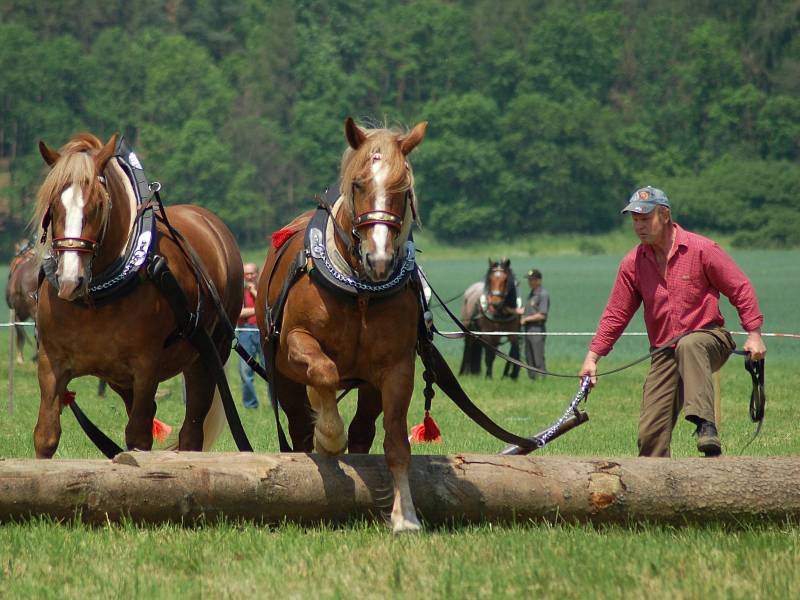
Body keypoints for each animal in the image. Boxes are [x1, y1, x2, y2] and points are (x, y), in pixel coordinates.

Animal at [31, 132, 242, 460]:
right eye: (53, 205)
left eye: (98, 205)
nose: (69, 281)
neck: (96, 297)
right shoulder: (51, 363)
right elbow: (46, 436)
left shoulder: (146, 367)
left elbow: (138, 438)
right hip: (120, 378)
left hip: (208, 355)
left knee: (191, 430)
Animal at [260, 117, 428, 536]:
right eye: (359, 184)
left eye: (403, 189)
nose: (379, 258)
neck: (359, 292)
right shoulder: (295, 342)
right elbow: (324, 373)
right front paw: (329, 437)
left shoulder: (397, 368)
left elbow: (397, 443)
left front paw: (405, 516)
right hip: (283, 377)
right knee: (300, 425)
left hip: (369, 387)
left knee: (365, 431)